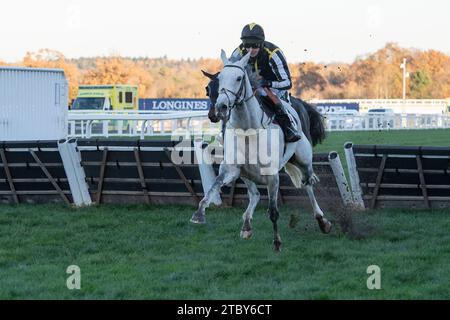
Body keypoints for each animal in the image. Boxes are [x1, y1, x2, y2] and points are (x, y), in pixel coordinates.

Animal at [190, 50, 330, 251]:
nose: (220, 108)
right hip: (246, 173)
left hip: (304, 161)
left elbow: (273, 212)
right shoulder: (231, 169)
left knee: (308, 185)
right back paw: (246, 225)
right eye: (209, 88)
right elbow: (212, 188)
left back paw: (322, 220)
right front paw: (199, 214)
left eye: (239, 78)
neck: (249, 130)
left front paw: (277, 242)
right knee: (255, 195)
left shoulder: (272, 177)